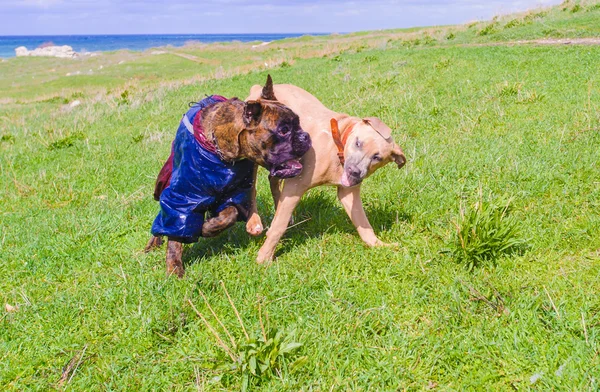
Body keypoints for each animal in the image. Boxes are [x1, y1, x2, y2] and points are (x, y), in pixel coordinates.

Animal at [145, 76, 310, 278]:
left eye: (298, 123)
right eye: (283, 130)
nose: (305, 136)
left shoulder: (235, 193)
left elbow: (229, 214)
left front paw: (207, 228)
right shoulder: (183, 197)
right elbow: (175, 235)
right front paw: (174, 267)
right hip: (163, 183)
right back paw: (153, 244)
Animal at [245, 82, 408, 262]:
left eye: (377, 157)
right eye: (358, 143)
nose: (354, 172)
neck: (337, 143)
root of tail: (258, 88)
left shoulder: (348, 193)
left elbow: (364, 224)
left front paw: (379, 245)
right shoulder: (295, 186)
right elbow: (278, 226)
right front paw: (264, 257)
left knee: (272, 180)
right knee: (251, 188)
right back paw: (254, 222)